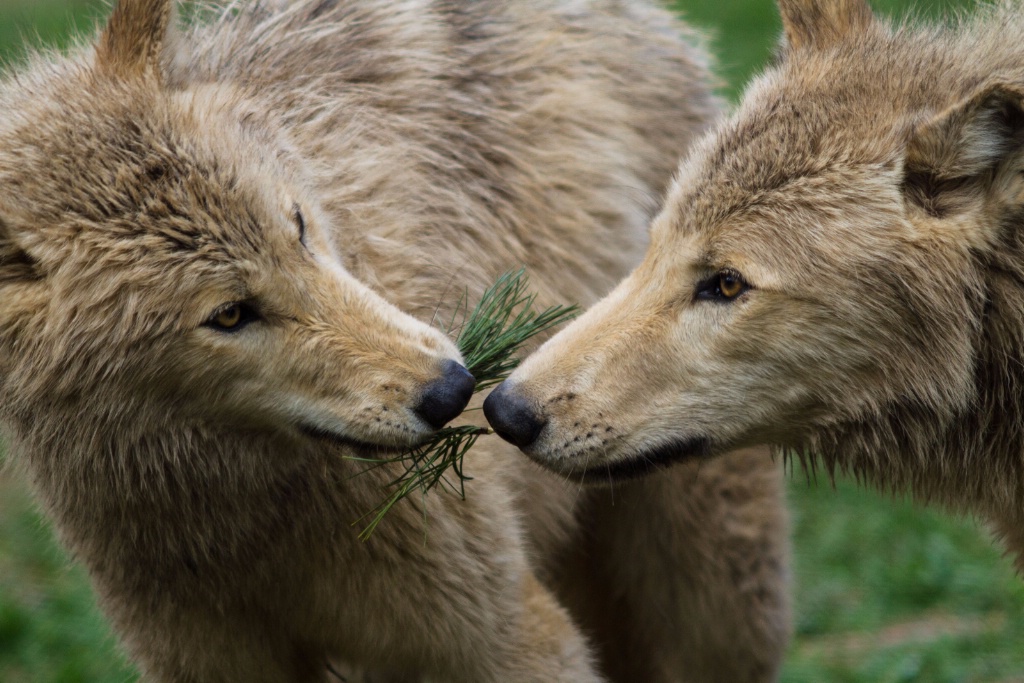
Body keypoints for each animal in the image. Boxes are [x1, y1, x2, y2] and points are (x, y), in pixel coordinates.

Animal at [0, 1, 790, 683]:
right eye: (228, 314)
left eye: (298, 226)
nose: (454, 390)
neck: (237, 520)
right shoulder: (207, 660)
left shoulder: (509, 636)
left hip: (719, 601)